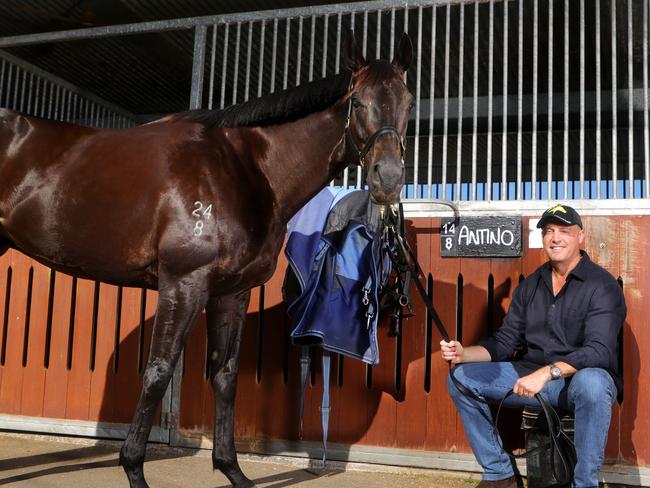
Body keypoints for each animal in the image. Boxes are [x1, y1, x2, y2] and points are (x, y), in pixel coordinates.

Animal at [0, 31, 412, 488]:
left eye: (409, 102)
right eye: (357, 101)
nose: (388, 179)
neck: (245, 169)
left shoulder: (231, 293)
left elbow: (225, 375)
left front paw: (232, 471)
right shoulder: (185, 283)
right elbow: (159, 372)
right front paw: (134, 470)